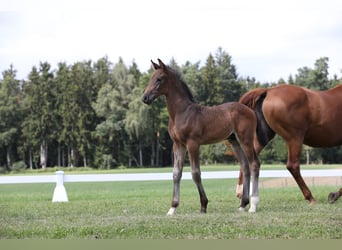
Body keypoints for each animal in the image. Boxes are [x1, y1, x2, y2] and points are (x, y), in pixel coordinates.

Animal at [142, 59, 260, 215]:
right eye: (151, 78)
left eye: (159, 79)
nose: (145, 98)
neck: (181, 112)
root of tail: (250, 110)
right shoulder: (178, 144)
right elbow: (176, 174)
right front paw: (172, 208)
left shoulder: (193, 144)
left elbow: (195, 173)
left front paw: (203, 205)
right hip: (234, 141)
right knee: (245, 166)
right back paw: (242, 204)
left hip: (245, 140)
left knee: (254, 164)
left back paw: (253, 205)